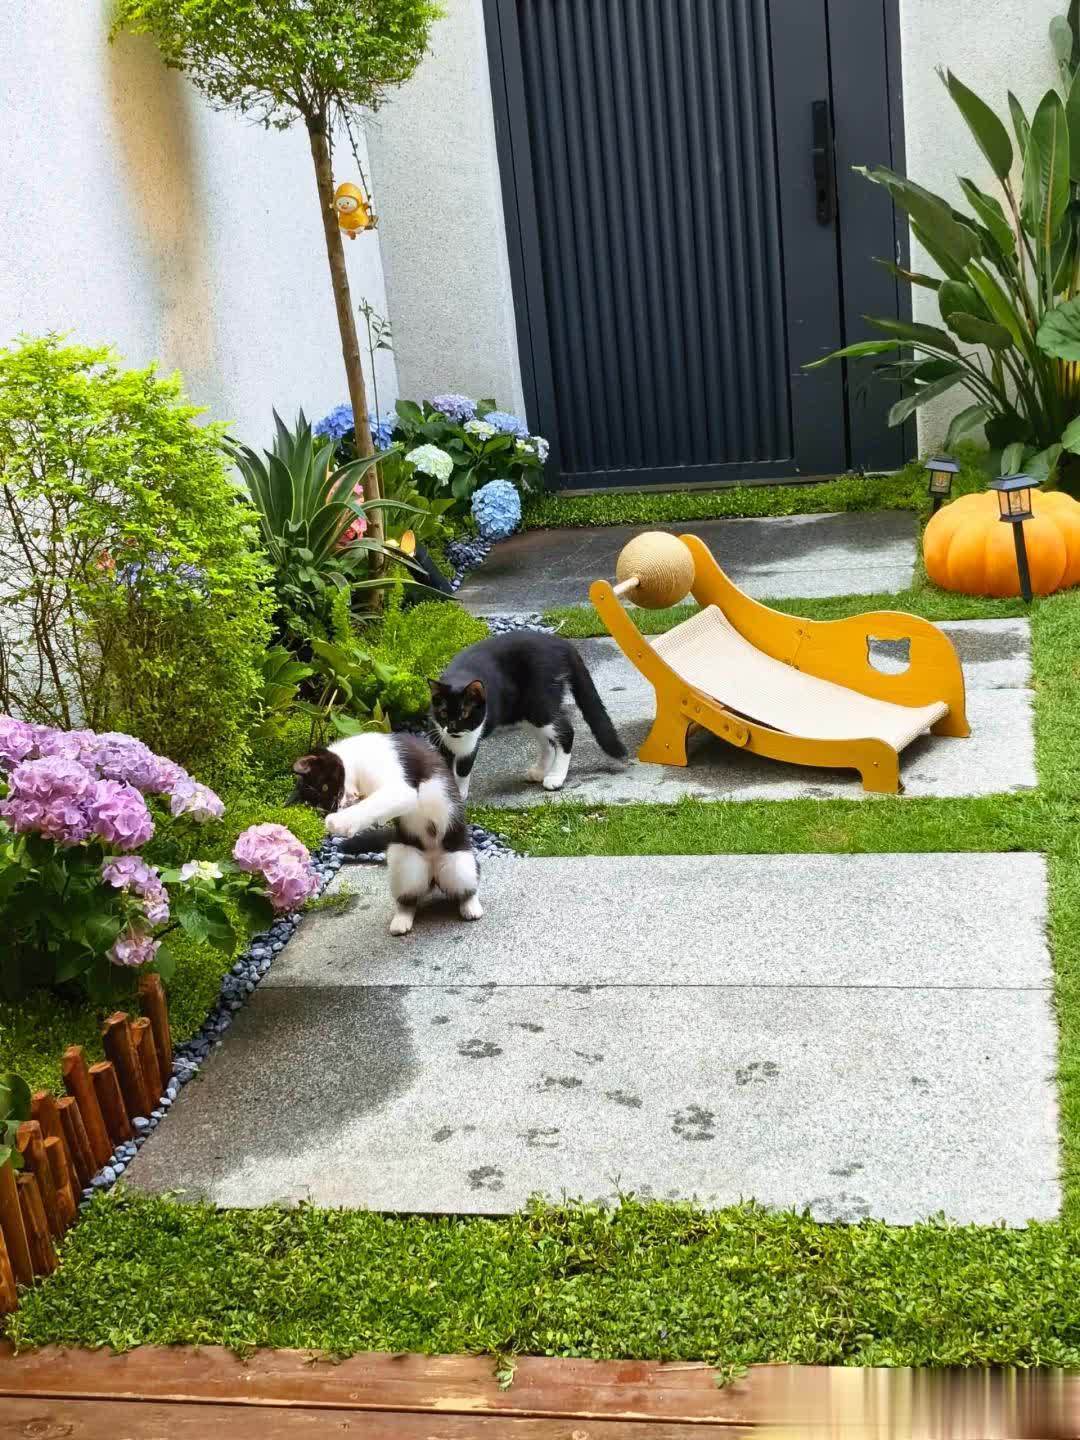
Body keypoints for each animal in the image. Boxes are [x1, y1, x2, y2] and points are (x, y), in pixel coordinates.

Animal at [289, 732, 481, 936]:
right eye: (318, 807)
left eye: (325, 788)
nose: (332, 809)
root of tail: (433, 874)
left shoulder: (398, 783)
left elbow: (380, 801)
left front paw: (339, 822)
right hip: (404, 860)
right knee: (409, 894)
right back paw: (402, 919)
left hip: (459, 863)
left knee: (467, 883)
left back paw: (470, 905)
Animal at [428, 630, 627, 799]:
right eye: (443, 712)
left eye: (465, 713)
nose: (452, 729)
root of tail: (561, 643)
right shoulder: (438, 735)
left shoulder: (471, 737)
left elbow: (463, 768)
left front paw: (458, 796)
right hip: (524, 712)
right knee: (547, 742)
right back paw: (540, 771)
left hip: (539, 704)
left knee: (565, 731)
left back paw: (555, 777)